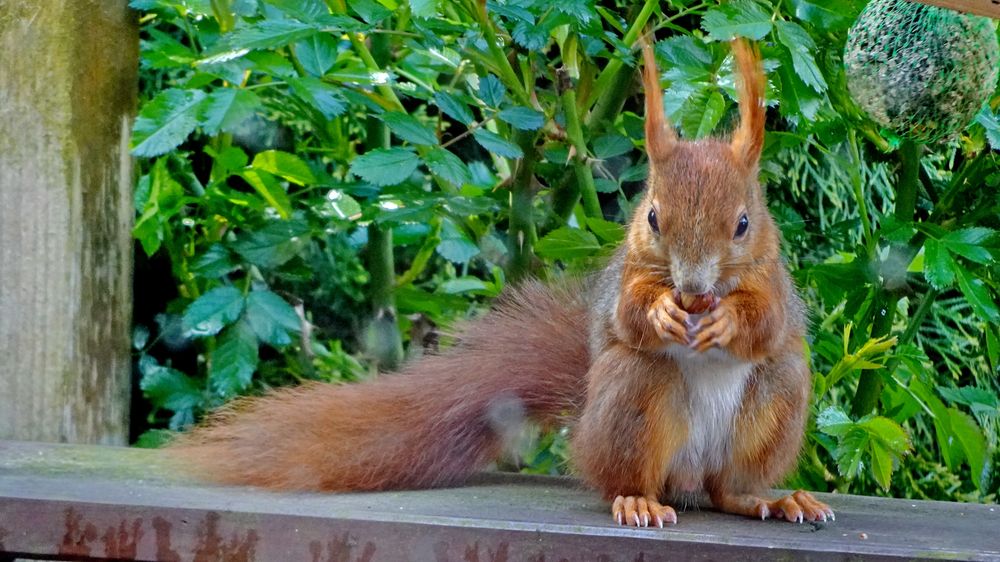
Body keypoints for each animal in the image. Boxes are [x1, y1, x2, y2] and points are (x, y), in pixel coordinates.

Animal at [170, 38, 828, 524]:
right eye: (652, 217)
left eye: (743, 224)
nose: (691, 290)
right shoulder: (627, 273)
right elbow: (626, 312)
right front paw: (661, 311)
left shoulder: (775, 281)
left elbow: (766, 320)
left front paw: (726, 317)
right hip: (631, 397)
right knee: (629, 469)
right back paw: (637, 498)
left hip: (778, 396)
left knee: (728, 482)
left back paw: (767, 497)